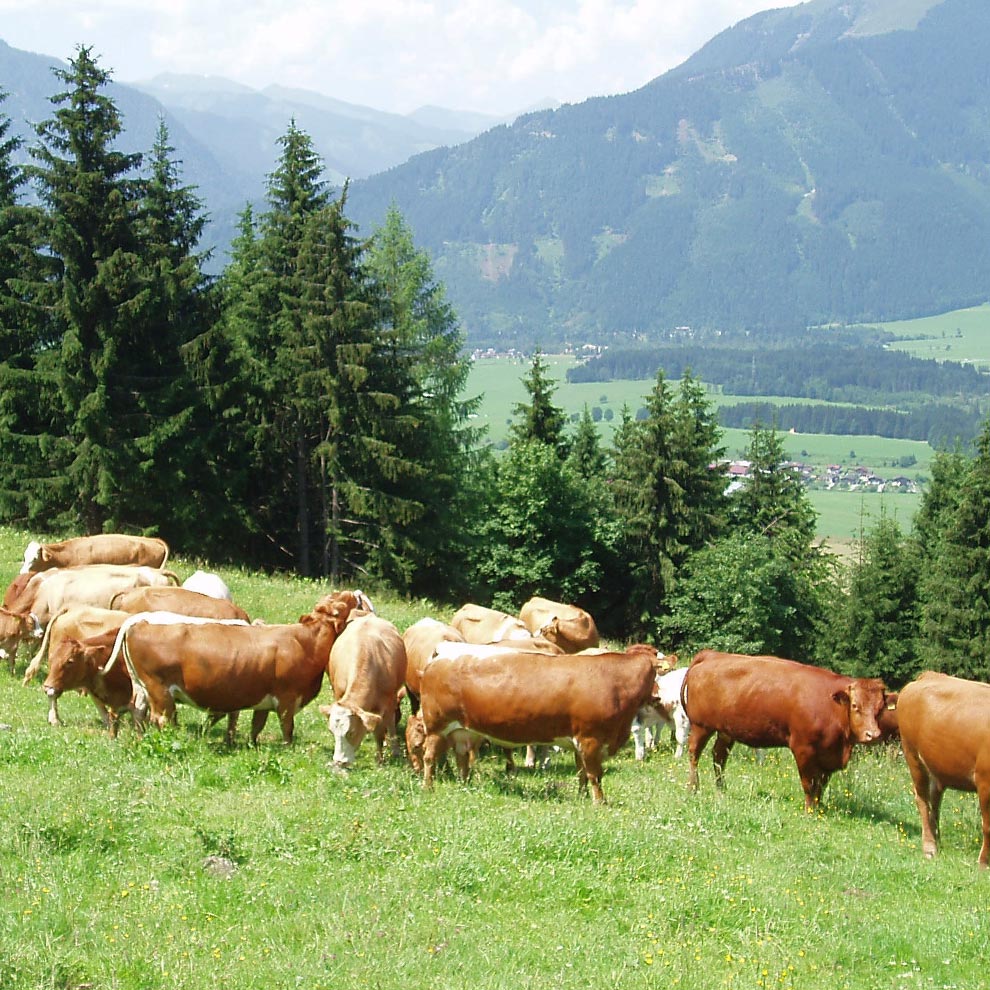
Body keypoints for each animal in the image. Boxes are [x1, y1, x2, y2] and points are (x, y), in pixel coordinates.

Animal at [107, 590, 366, 744]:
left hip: (141, 686)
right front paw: (287, 748)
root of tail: (138, 619)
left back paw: (133, 738)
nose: (353, 592)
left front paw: (253, 745)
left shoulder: (265, 700)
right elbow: (287, 728)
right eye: (341, 604)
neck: (305, 642)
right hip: (159, 688)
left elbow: (256, 726)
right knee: (160, 718)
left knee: (134, 709)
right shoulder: (287, 699)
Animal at [320, 612, 407, 766]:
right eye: (331, 732)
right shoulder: (339, 694)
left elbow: (380, 732)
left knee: (390, 724)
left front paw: (380, 759)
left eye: (351, 732)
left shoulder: (386, 705)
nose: (339, 761)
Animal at [418, 646, 656, 803]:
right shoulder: (590, 739)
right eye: (656, 673)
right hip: (437, 725)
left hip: (462, 731)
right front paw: (600, 802)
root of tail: (442, 652)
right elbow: (594, 774)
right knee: (429, 757)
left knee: (461, 759)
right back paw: (428, 788)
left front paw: (582, 797)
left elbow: (582, 773)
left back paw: (464, 785)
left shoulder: (581, 741)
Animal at [682, 650, 887, 811]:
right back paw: (693, 787)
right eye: (855, 705)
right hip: (701, 726)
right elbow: (809, 783)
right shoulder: (803, 748)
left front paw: (818, 808)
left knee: (719, 756)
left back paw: (721, 789)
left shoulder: (828, 755)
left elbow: (821, 785)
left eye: (881, 708)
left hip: (725, 730)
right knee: (694, 753)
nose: (873, 735)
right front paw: (809, 810)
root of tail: (712, 654)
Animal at [898, 672, 990, 867]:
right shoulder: (984, 781)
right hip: (912, 756)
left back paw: (937, 839)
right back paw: (929, 847)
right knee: (922, 800)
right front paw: (983, 862)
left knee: (935, 801)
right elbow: (988, 825)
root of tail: (928, 675)